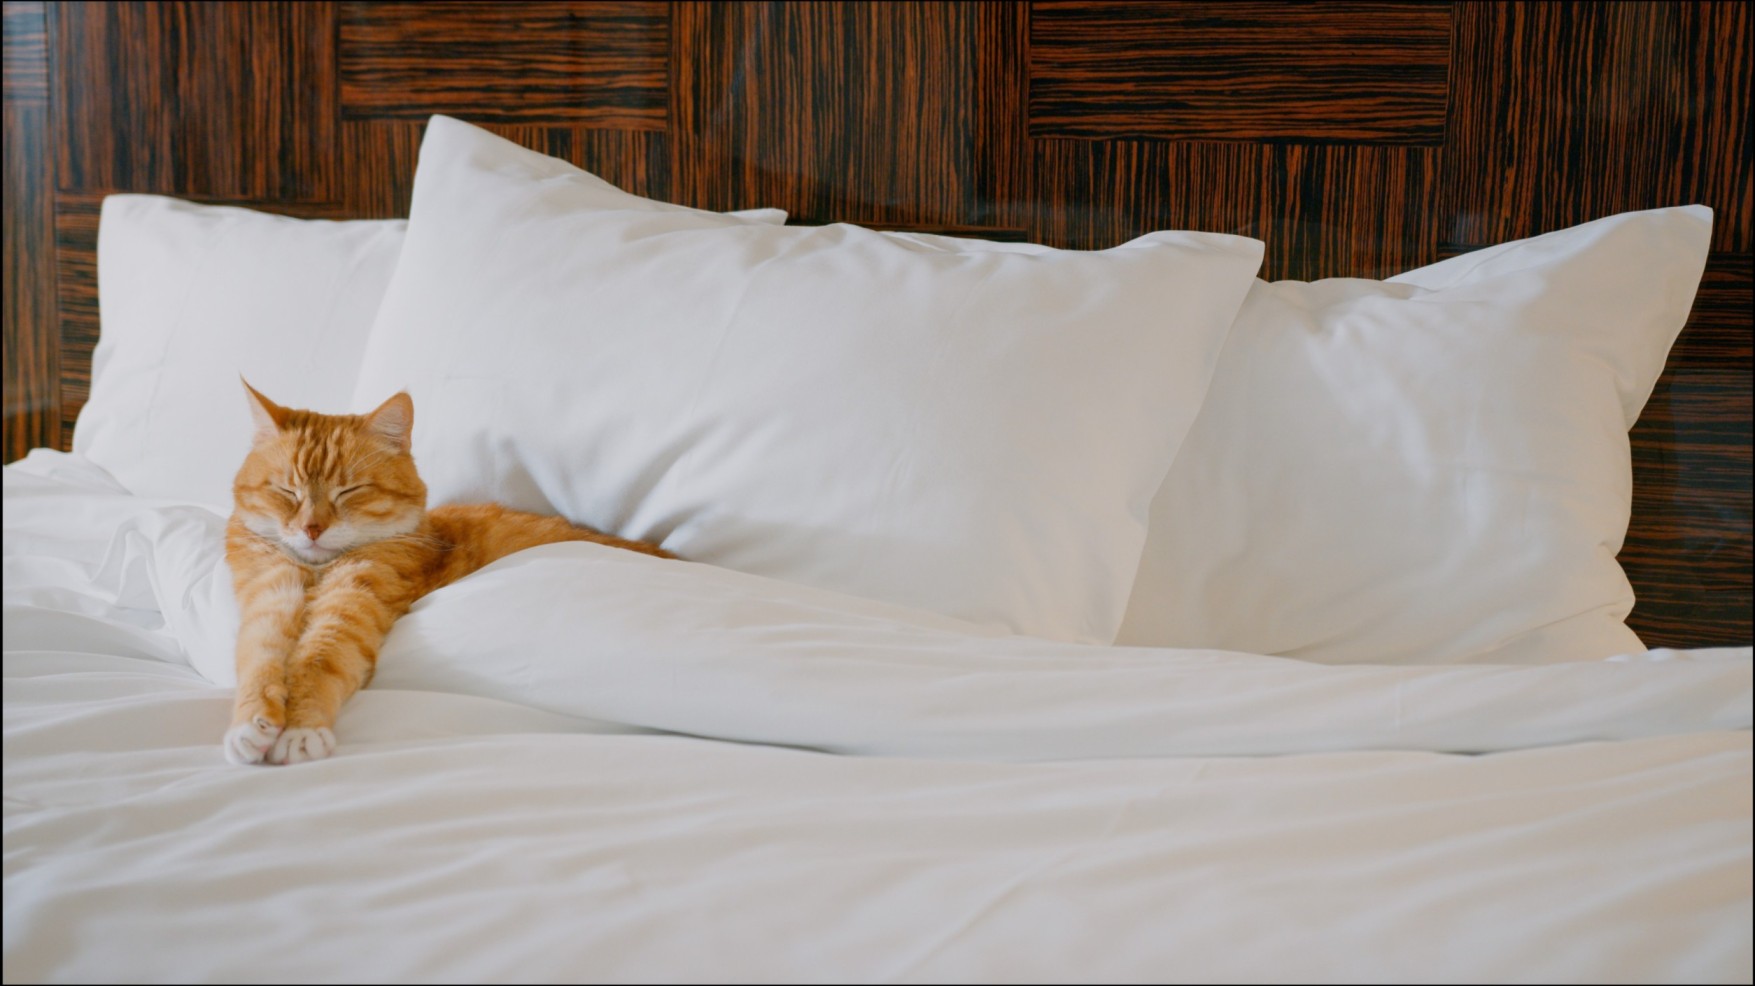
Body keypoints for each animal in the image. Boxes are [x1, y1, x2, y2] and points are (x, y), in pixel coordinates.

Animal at [226, 380, 670, 764]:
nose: (312, 529)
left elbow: (321, 657)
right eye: (287, 491)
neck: (317, 571)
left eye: (350, 491)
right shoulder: (269, 592)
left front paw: (301, 730)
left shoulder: (358, 598)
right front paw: (250, 725)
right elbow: (258, 655)